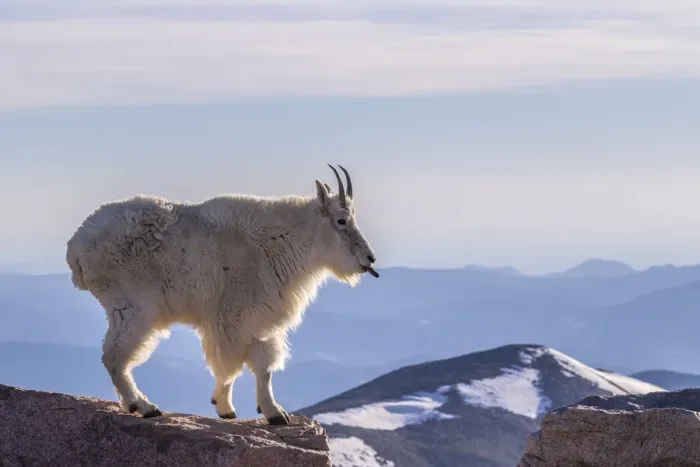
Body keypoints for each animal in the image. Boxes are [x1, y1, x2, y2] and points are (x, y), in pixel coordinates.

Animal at [65, 164, 379, 425]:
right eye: (341, 221)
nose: (370, 258)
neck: (281, 241)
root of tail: (76, 246)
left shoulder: (257, 322)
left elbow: (263, 367)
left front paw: (274, 412)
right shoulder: (230, 319)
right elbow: (230, 366)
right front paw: (226, 407)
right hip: (133, 306)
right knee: (114, 356)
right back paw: (143, 406)